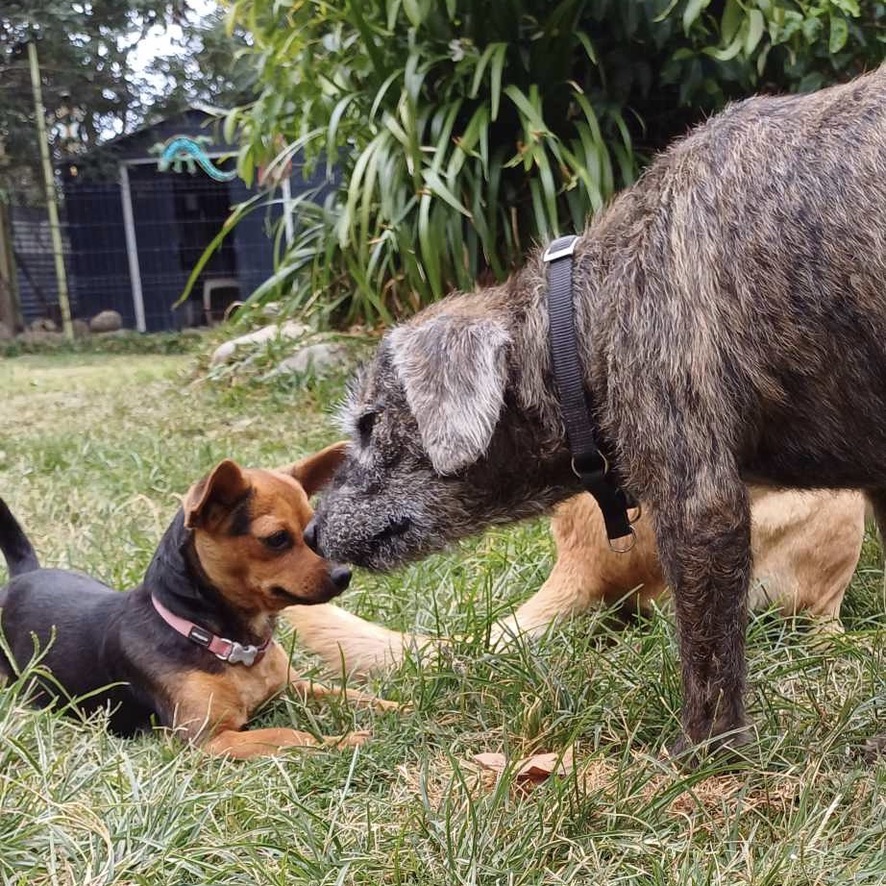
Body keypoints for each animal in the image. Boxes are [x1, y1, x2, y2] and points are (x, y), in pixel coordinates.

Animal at [0, 448, 396, 760]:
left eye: (313, 528)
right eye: (277, 539)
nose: (345, 574)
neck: (230, 644)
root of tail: (25, 573)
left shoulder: (294, 689)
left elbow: (350, 694)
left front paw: (399, 708)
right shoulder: (212, 740)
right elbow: (290, 736)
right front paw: (344, 740)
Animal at [306, 69, 886, 760]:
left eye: (369, 424)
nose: (311, 533)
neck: (582, 318)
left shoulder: (708, 506)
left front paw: (702, 763)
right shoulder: (710, 499)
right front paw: (703, 766)